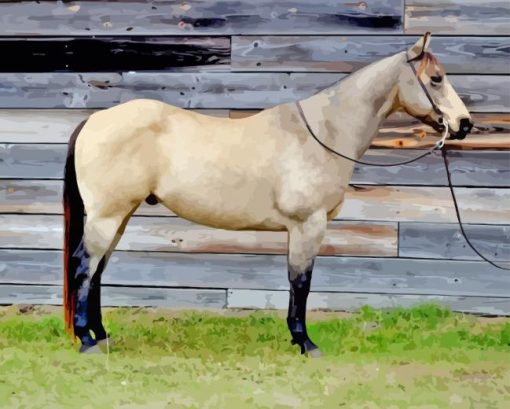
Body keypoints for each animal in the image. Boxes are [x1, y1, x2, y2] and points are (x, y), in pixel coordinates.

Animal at [62, 33, 474, 354]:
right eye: (436, 78)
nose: (464, 123)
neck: (323, 134)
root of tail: (94, 120)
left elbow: (296, 282)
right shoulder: (309, 226)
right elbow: (301, 283)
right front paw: (305, 342)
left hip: (119, 216)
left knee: (97, 270)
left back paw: (102, 335)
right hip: (107, 215)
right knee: (84, 265)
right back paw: (87, 340)